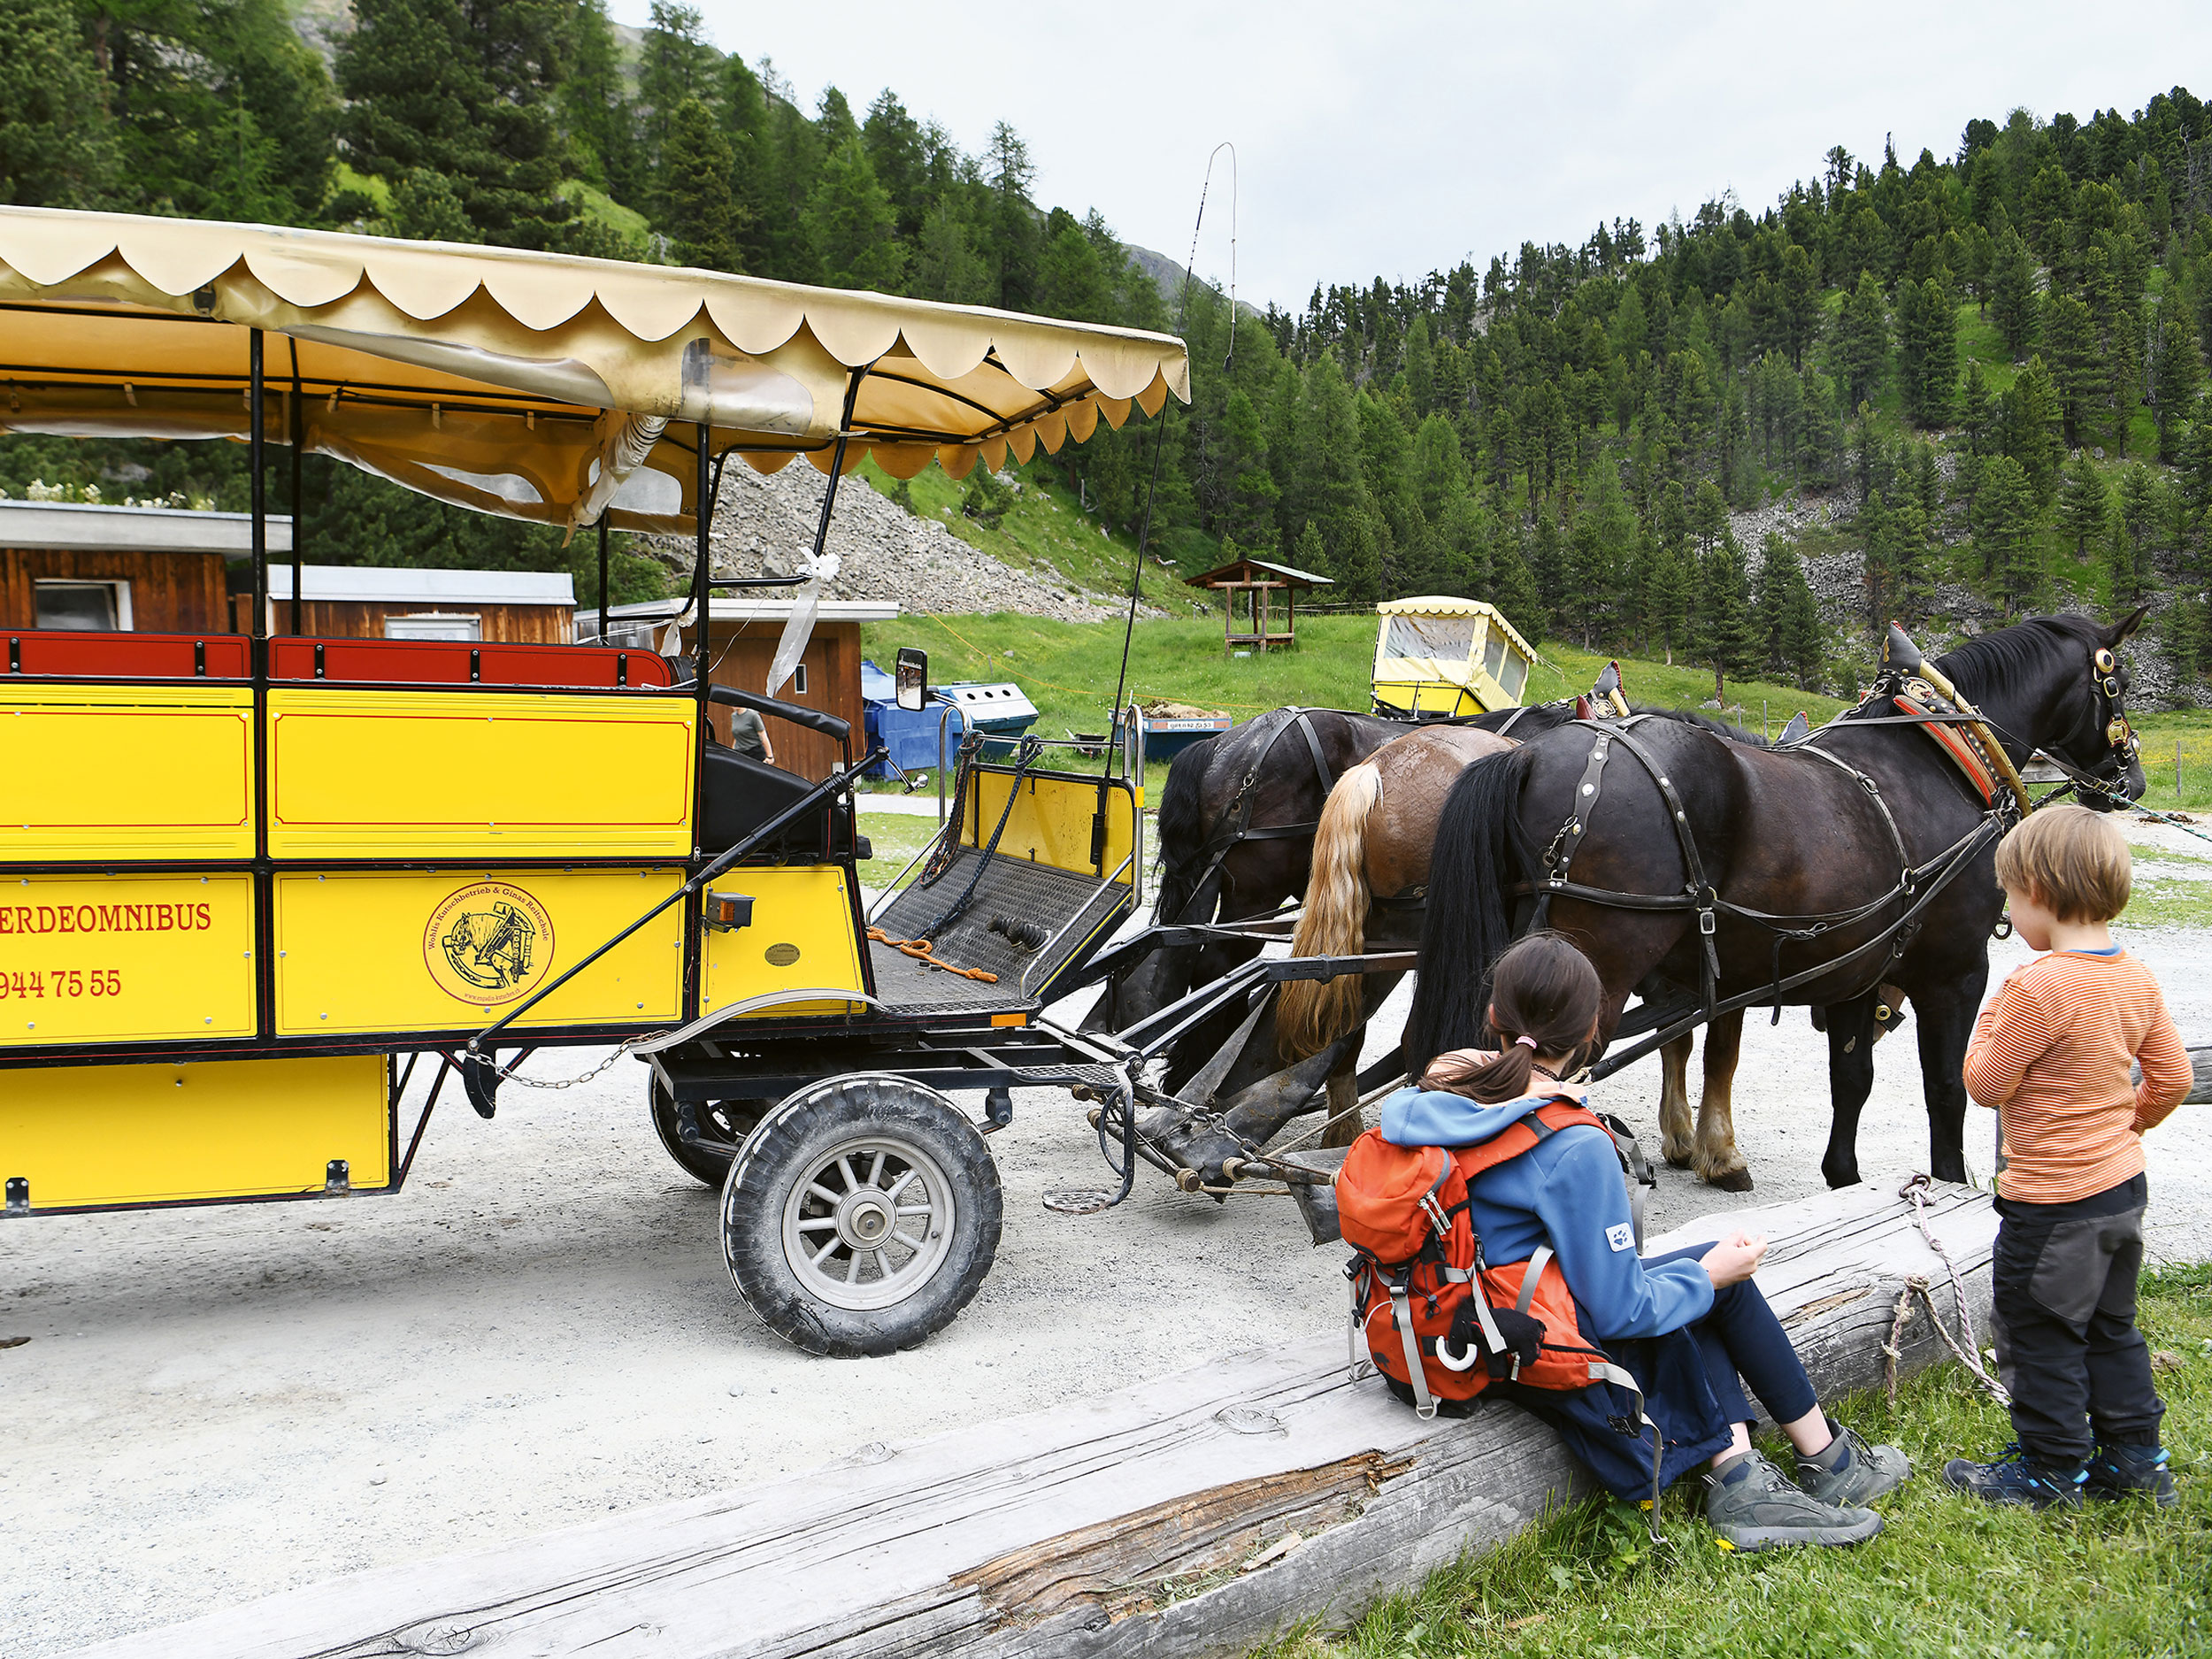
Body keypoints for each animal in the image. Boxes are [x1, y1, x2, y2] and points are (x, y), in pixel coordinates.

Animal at [1407, 619, 2150, 1186]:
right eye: (2116, 683)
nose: (2133, 779)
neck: (1936, 759)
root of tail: (1530, 756)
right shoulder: (1955, 972)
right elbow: (1945, 1088)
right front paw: (1948, 1182)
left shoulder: (1856, 970)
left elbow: (1850, 1076)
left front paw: (1841, 1178)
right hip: (1595, 976)